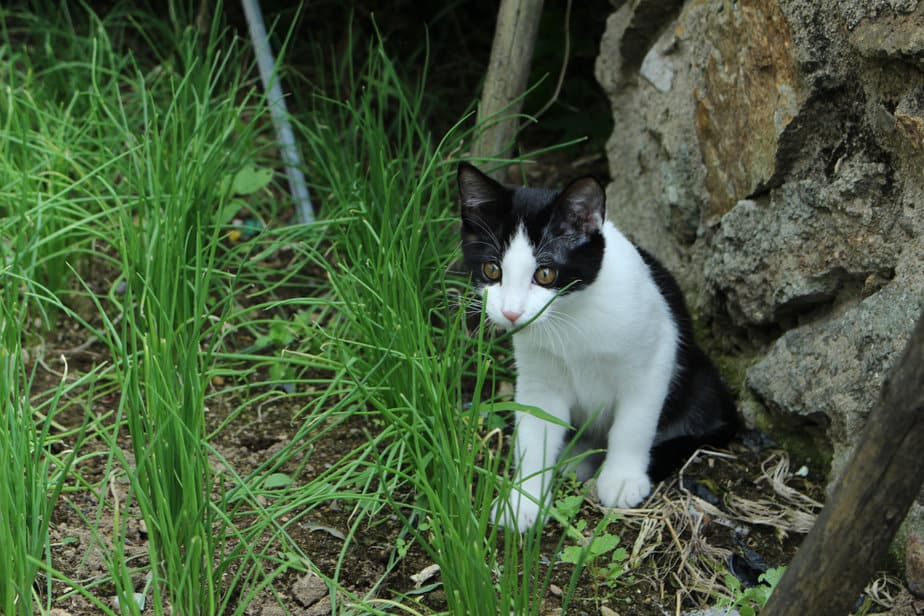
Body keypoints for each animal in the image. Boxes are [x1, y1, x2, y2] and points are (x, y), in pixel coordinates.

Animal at [458, 161, 740, 532]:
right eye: (492, 269)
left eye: (545, 274)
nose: (511, 312)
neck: (570, 317)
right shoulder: (539, 377)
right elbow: (534, 431)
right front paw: (523, 499)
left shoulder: (656, 358)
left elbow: (633, 425)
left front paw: (621, 479)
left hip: (700, 383)